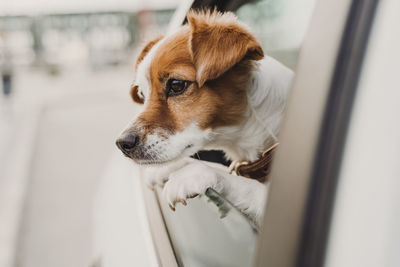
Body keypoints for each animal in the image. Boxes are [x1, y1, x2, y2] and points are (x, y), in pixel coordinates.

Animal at [115, 11, 294, 228]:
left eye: (176, 85)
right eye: (142, 94)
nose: (122, 143)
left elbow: (246, 185)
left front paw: (192, 173)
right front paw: (173, 167)